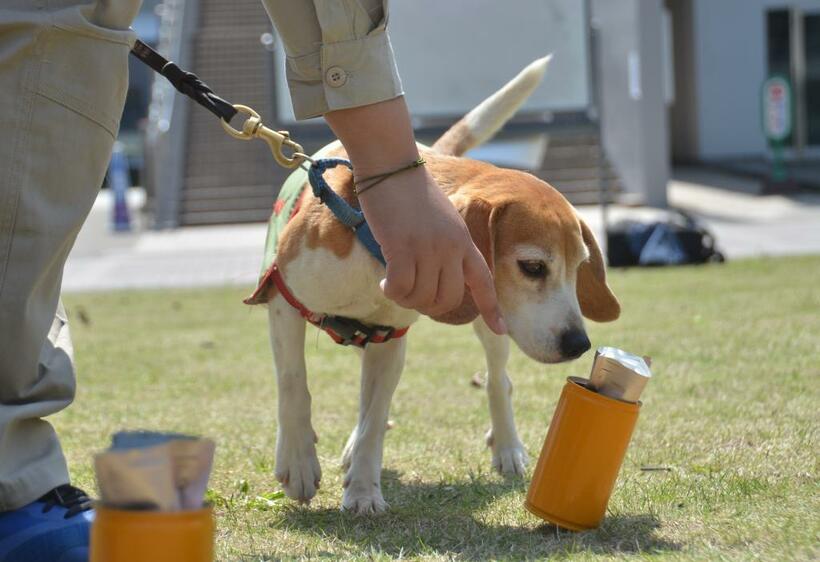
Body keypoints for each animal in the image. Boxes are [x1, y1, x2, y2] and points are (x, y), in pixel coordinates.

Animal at [253, 55, 620, 512]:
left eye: (579, 267)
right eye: (533, 267)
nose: (579, 345)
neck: (373, 246)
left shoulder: (389, 337)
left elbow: (374, 417)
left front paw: (363, 490)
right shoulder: (283, 299)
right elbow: (293, 384)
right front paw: (299, 461)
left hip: (487, 319)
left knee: (497, 379)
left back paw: (507, 447)